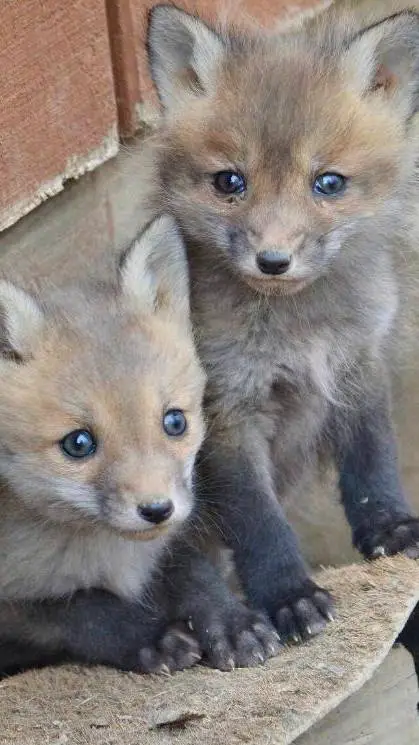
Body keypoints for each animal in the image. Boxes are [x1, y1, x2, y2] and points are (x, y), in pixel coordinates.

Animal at [0, 215, 280, 676]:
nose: (157, 510)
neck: (110, 555)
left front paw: (230, 621)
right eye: (78, 443)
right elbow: (84, 607)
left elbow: (193, 570)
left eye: (175, 421)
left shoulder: (170, 543)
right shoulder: (16, 606)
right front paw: (154, 637)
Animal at [141, 3, 419, 641]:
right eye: (230, 182)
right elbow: (260, 521)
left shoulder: (356, 364)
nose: (273, 260)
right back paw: (227, 627)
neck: (301, 331)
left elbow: (372, 460)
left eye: (329, 183)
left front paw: (390, 529)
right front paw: (289, 594)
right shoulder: (226, 410)